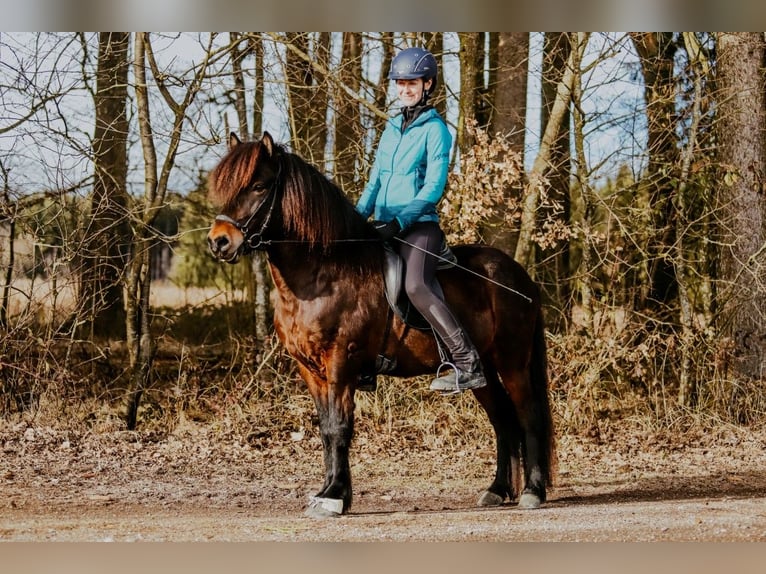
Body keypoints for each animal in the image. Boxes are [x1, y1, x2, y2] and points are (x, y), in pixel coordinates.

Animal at [206, 131, 555, 518]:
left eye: (258, 186)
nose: (218, 241)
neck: (322, 274)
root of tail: (520, 277)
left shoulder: (341, 361)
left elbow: (339, 427)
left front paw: (334, 497)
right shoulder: (310, 369)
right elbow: (326, 429)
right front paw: (329, 492)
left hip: (513, 362)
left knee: (528, 416)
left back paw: (533, 492)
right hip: (484, 371)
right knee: (503, 419)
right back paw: (496, 490)